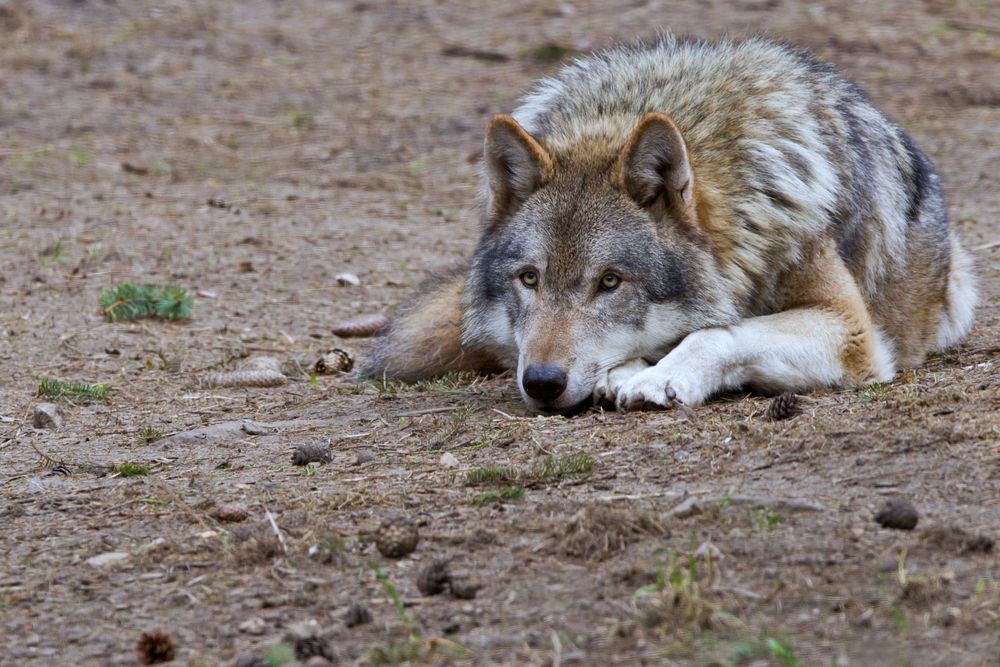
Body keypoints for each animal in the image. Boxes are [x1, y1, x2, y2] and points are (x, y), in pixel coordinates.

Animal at [358, 36, 976, 414]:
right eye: (529, 279)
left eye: (609, 281)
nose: (542, 383)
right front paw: (627, 368)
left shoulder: (851, 330)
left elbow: (718, 331)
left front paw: (658, 375)